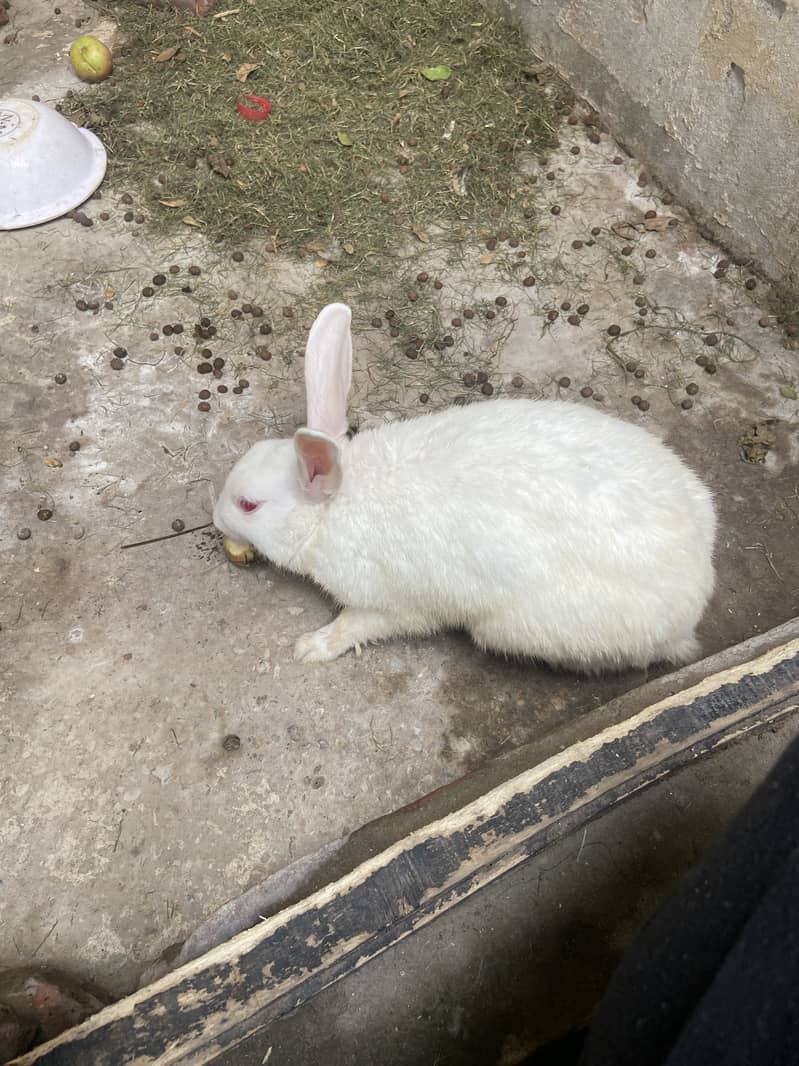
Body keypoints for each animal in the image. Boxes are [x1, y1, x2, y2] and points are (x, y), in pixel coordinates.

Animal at [213, 303, 716, 672]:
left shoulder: (391, 606)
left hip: (513, 627)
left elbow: (354, 626)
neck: (334, 508)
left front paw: (311, 647)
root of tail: (697, 583)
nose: (216, 517)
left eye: (248, 505)